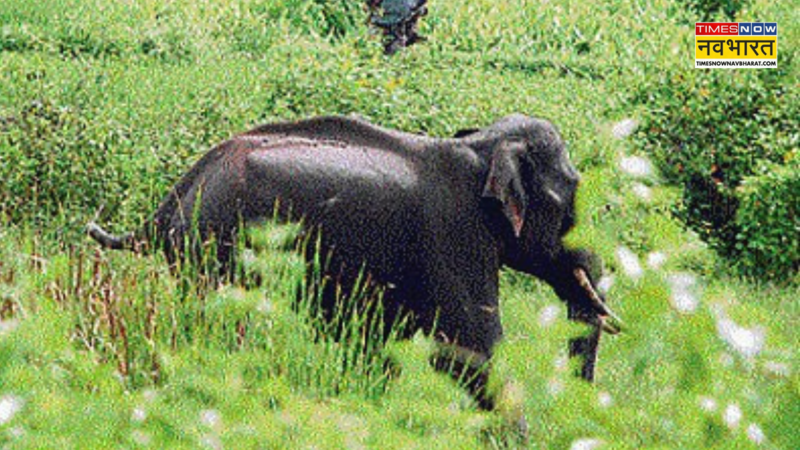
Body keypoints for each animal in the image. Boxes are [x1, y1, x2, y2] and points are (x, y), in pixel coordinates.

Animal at [87, 114, 621, 409]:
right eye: (568, 203)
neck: (480, 145)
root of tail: (169, 204)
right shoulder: (454, 232)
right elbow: (471, 346)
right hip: (217, 250)